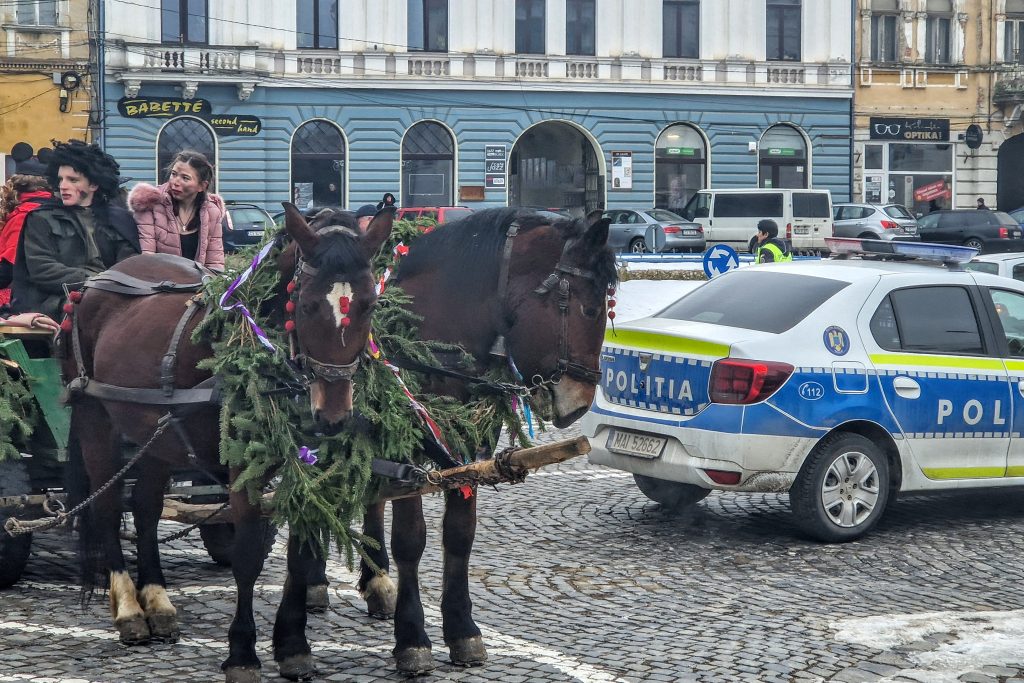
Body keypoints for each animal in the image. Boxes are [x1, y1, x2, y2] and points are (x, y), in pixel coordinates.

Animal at [61, 204, 393, 683]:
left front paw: (293, 645)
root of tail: (92, 284)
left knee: (145, 507)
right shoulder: (241, 469)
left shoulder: (299, 464)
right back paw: (128, 608)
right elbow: (248, 555)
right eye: (307, 305)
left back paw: (157, 600)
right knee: (106, 504)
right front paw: (243, 652)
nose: (332, 417)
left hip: (156, 431)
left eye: (370, 304)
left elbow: (300, 551)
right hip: (94, 415)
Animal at [286, 205, 614, 675]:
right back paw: (314, 580)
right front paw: (412, 637)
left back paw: (375, 580)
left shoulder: (467, 444)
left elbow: (460, 533)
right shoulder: (408, 445)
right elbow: (411, 540)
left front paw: (461, 628)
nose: (580, 402)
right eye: (587, 309)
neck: (434, 335)